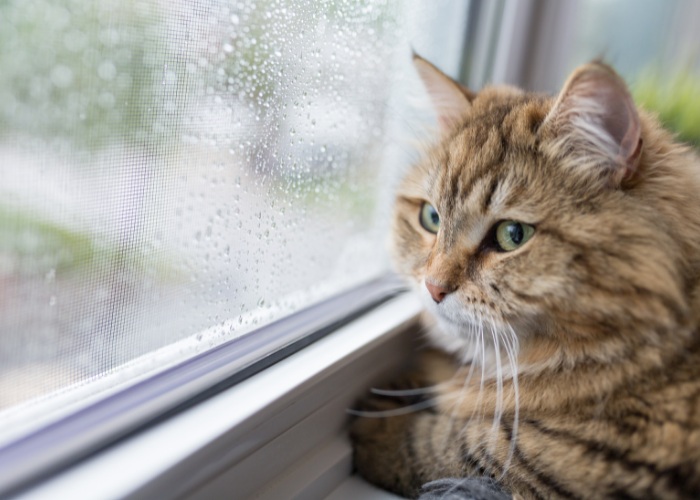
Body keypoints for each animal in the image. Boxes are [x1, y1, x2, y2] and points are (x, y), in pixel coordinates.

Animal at [350, 52, 700, 498]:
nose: (433, 287)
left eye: (512, 235)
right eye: (431, 218)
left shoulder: (586, 459)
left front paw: (381, 419)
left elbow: (461, 444)